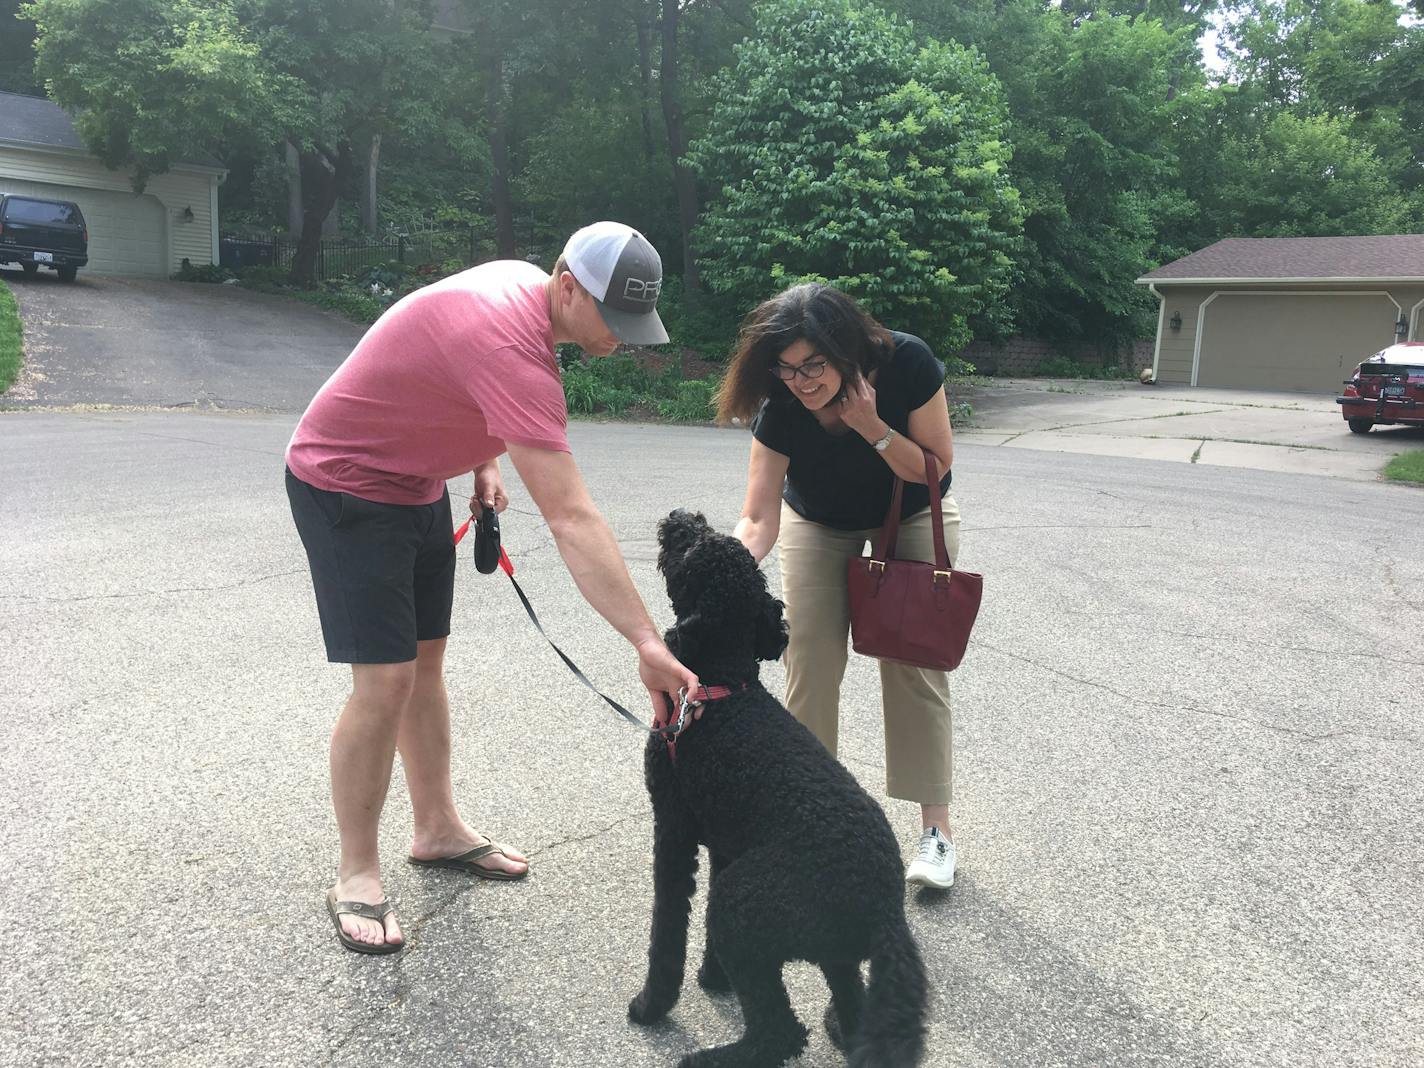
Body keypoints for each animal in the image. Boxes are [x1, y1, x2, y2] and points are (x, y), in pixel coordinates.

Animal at [629, 512, 928, 1068]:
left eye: (692, 549)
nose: (680, 518)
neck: (725, 690)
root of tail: (885, 909)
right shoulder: (725, 843)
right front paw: (714, 978)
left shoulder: (674, 830)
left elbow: (667, 928)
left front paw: (651, 1005)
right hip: (828, 947)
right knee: (851, 1008)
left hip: (745, 904)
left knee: (780, 1032)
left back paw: (714, 1057)